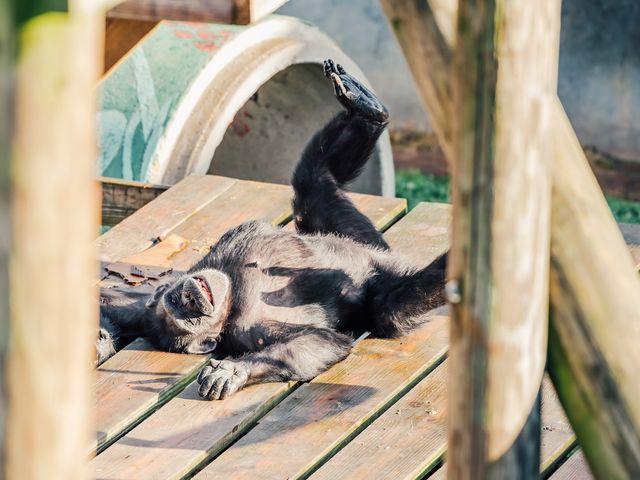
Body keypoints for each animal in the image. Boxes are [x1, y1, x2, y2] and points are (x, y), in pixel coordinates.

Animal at [98, 60, 448, 400]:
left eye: (177, 302)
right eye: (187, 315)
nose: (190, 297)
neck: (232, 294)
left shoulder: (142, 301)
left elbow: (108, 303)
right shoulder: (253, 330)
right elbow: (319, 341)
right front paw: (234, 371)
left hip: (348, 229)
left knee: (311, 178)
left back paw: (366, 107)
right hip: (383, 293)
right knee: (394, 305)